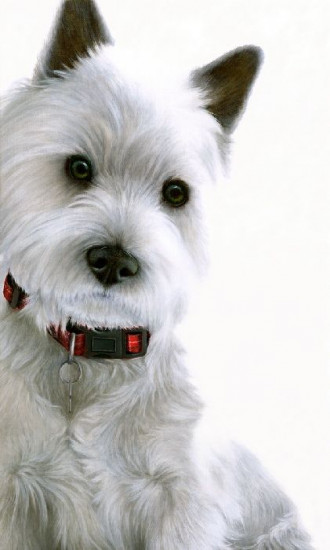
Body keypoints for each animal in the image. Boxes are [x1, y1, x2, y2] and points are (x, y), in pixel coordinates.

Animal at [0, 1, 314, 550]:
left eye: (176, 192)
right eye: (78, 168)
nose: (114, 262)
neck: (92, 359)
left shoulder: (182, 501)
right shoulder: (15, 487)